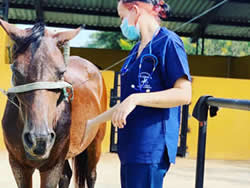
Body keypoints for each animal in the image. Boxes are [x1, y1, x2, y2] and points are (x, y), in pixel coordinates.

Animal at [0, 19, 106, 188]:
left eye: (61, 73)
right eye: (15, 70)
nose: (39, 139)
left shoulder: (51, 167)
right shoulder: (18, 166)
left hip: (95, 144)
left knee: (91, 175)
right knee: (66, 175)